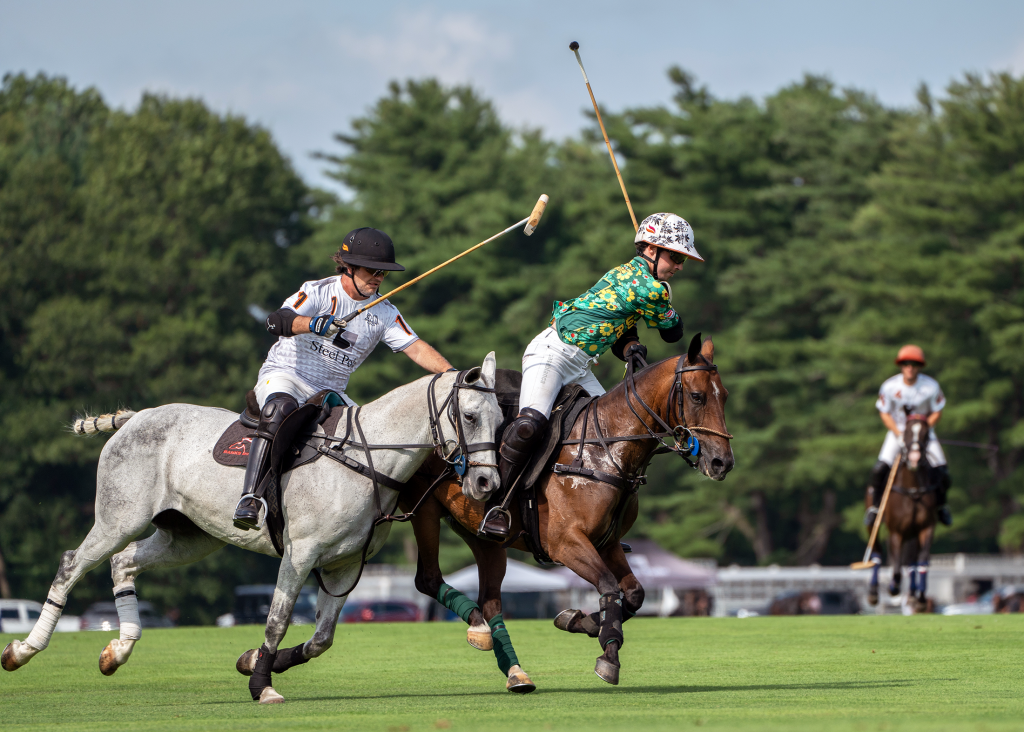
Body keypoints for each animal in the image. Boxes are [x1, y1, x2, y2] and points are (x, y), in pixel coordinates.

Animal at [1, 354, 499, 704]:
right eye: (470, 416)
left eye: (501, 418)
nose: (485, 483)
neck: (367, 458)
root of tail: (137, 416)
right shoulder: (301, 553)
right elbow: (277, 619)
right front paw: (262, 685)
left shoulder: (342, 566)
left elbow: (321, 640)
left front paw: (251, 662)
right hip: (118, 518)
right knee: (72, 564)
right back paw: (23, 650)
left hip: (188, 537)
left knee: (124, 563)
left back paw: (118, 651)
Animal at [401, 335, 737, 692]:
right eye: (697, 396)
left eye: (725, 395)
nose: (722, 462)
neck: (605, 450)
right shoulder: (565, 543)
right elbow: (608, 585)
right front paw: (608, 654)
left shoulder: (607, 542)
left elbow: (634, 593)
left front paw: (582, 621)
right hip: (423, 509)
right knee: (427, 578)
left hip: (483, 537)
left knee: (490, 599)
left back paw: (513, 670)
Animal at [864, 415, 937, 610]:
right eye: (906, 433)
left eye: (926, 433)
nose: (914, 458)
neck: (913, 490)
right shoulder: (895, 531)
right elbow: (896, 569)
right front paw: (893, 588)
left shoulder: (926, 528)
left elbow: (922, 560)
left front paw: (920, 598)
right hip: (874, 524)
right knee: (877, 553)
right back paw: (873, 593)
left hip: (912, 532)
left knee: (911, 561)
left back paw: (912, 595)